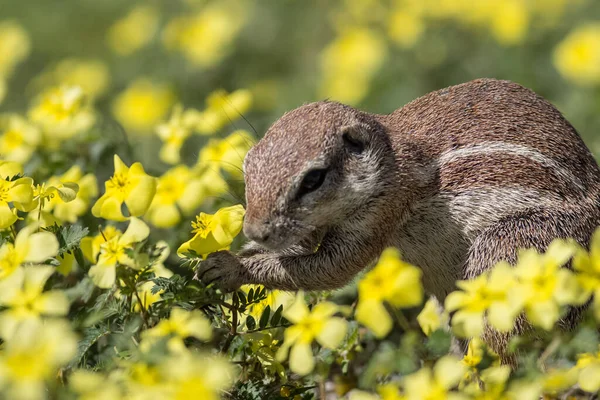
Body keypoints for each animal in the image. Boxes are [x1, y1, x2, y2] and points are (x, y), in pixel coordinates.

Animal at [196, 77, 600, 356]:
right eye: (247, 168)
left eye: (313, 179)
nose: (255, 230)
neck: (387, 158)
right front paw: (229, 256)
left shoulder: (379, 212)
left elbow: (331, 267)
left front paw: (232, 267)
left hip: (514, 251)